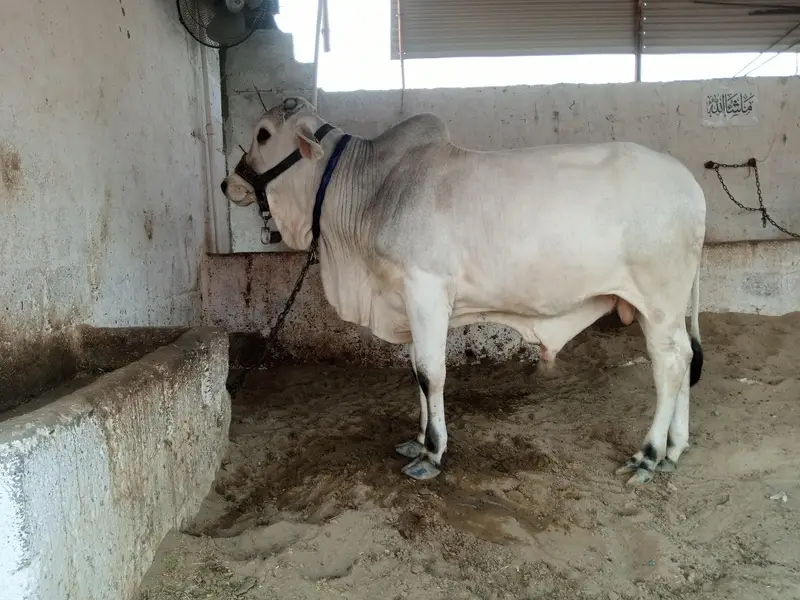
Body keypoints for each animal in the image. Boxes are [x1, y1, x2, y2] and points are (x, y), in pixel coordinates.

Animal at [220, 96, 706, 487]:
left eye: (263, 134)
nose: (228, 184)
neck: (376, 189)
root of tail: (690, 184)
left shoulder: (427, 293)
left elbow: (431, 373)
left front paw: (433, 452)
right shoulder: (409, 303)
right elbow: (416, 369)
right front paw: (417, 439)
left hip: (659, 302)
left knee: (668, 364)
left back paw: (649, 455)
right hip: (661, 310)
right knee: (682, 358)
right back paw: (674, 448)